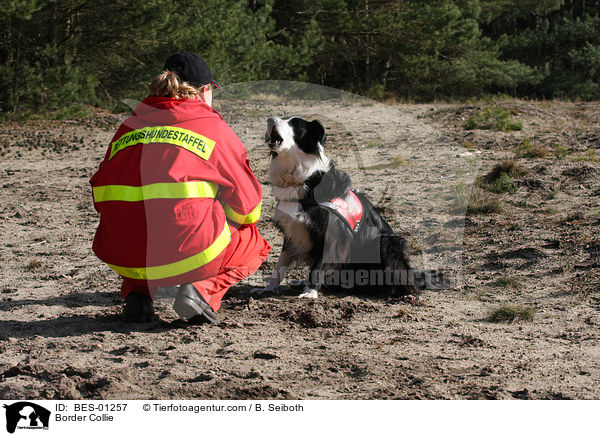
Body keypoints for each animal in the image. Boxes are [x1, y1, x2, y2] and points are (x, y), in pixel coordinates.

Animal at [254, 116, 422, 298]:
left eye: (294, 124)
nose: (270, 118)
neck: (304, 179)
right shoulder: (292, 229)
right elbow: (281, 263)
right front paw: (268, 288)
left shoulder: (333, 234)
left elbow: (317, 267)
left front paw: (310, 292)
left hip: (389, 242)